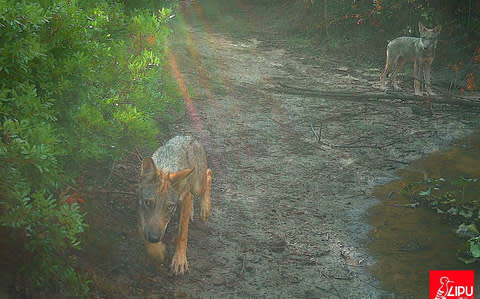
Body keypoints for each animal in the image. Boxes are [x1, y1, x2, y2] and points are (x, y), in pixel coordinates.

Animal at [137, 137, 212, 276]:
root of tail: (189, 137)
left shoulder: (185, 197)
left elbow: (182, 233)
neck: (166, 167)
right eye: (148, 203)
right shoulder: (141, 212)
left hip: (197, 187)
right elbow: (143, 231)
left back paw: (204, 209)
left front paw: (179, 260)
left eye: (169, 207)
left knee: (209, 173)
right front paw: (157, 252)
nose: (154, 238)